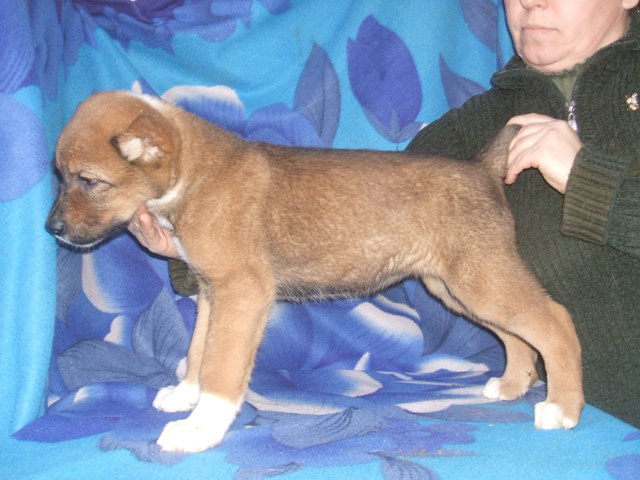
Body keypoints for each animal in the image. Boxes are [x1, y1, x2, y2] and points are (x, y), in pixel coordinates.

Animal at [46, 91, 584, 453]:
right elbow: (199, 351)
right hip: (458, 286)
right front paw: (185, 396)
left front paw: (201, 429)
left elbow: (222, 368)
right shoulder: (212, 292)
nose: (52, 229)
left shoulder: (243, 293)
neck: (195, 177)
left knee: (555, 323)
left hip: (479, 279)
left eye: (89, 180)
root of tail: (480, 169)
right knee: (517, 335)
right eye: (61, 175)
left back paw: (562, 408)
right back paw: (510, 386)